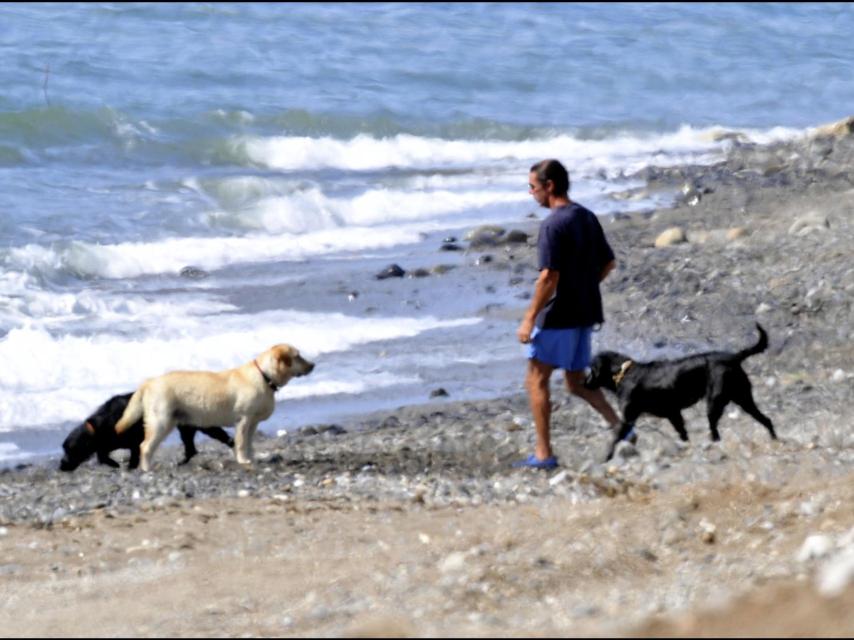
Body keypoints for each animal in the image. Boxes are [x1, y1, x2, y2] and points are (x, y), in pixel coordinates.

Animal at [59, 390, 234, 470]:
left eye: (70, 450)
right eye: (64, 449)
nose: (61, 466)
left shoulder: (135, 442)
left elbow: (132, 457)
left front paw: (128, 467)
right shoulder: (107, 445)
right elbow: (102, 456)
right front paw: (115, 464)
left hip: (200, 425)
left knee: (220, 437)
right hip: (186, 429)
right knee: (191, 449)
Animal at [113, 344, 312, 470]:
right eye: (297, 356)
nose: (313, 365)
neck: (264, 375)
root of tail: (148, 382)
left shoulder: (252, 423)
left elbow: (249, 443)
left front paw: (251, 458)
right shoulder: (244, 419)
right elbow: (241, 442)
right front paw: (243, 460)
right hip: (161, 421)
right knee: (145, 446)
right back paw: (147, 469)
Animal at [588, 324, 776, 460]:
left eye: (591, 369)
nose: (584, 382)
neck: (624, 373)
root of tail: (733, 357)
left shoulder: (628, 419)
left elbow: (615, 438)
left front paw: (606, 457)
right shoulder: (673, 414)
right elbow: (683, 434)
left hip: (715, 403)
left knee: (716, 431)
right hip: (743, 398)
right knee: (766, 419)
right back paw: (775, 440)